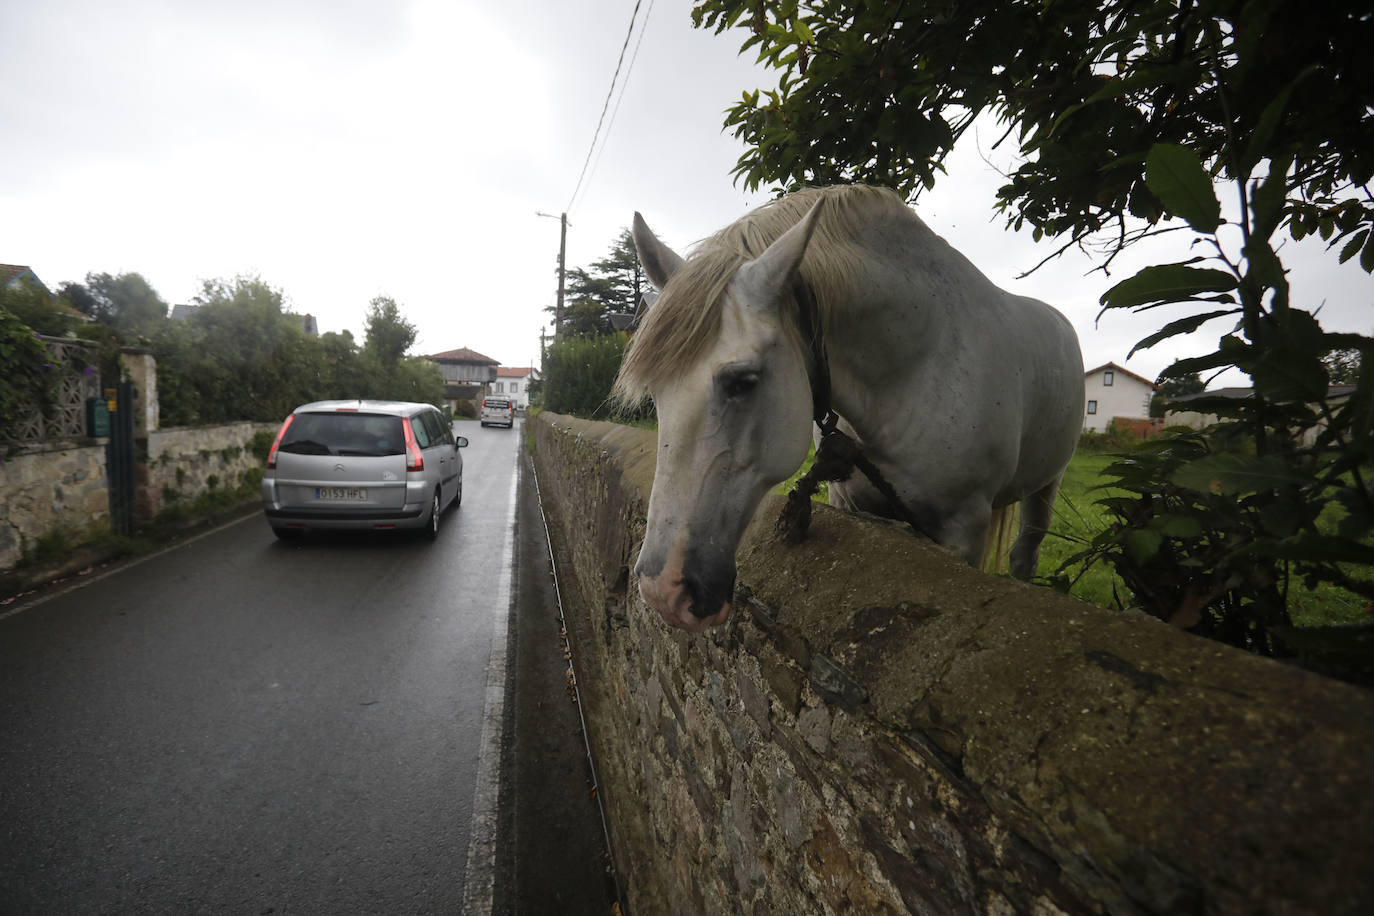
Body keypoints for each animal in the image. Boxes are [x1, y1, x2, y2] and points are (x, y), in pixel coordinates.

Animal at [615, 186, 1082, 631]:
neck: (916, 367)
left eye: (744, 381)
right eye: (657, 392)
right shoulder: (849, 504)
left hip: (1049, 482)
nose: (663, 591)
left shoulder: (964, 528)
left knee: (1026, 553)